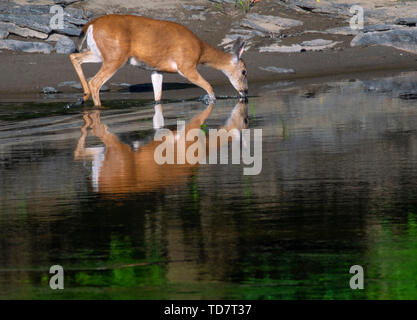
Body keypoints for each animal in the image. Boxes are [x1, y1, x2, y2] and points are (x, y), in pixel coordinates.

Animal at [70, 14, 249, 106]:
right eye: (244, 71)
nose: (245, 92)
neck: (200, 50)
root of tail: (91, 24)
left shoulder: (156, 70)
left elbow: (158, 96)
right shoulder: (187, 66)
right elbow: (209, 87)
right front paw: (210, 100)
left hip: (99, 53)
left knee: (74, 57)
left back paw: (83, 97)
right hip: (115, 56)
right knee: (95, 82)